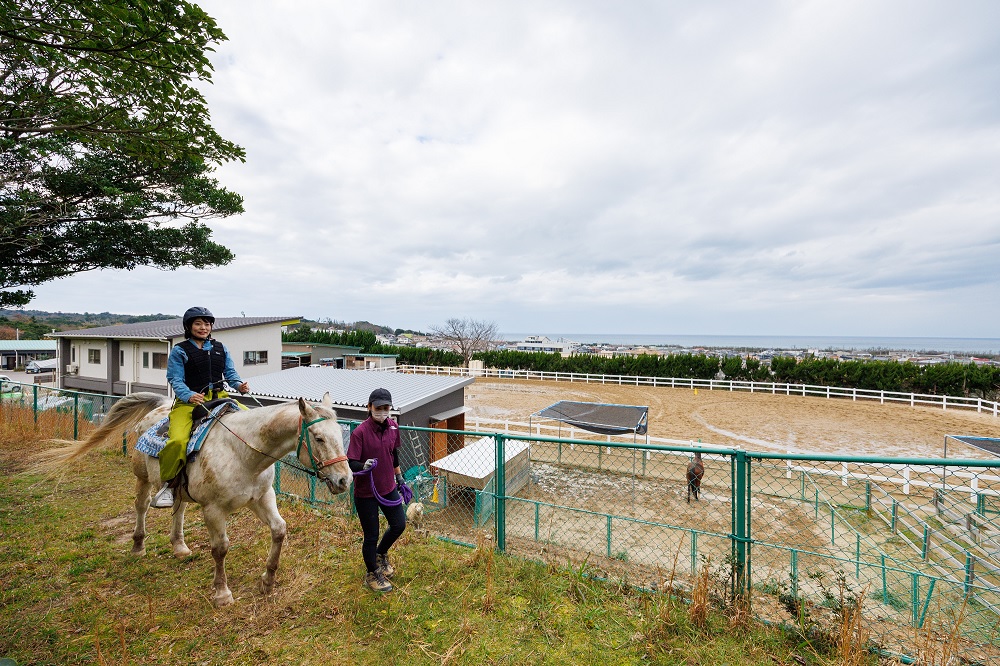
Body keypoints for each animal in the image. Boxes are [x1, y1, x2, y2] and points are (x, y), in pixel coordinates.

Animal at [39, 392, 352, 604]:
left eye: (340, 435)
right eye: (318, 437)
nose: (344, 480)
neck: (242, 451)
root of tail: (160, 407)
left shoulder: (262, 498)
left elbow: (279, 530)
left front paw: (268, 580)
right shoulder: (214, 510)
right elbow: (221, 549)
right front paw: (222, 593)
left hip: (178, 488)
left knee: (177, 509)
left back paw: (179, 546)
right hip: (142, 477)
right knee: (141, 506)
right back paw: (138, 546)